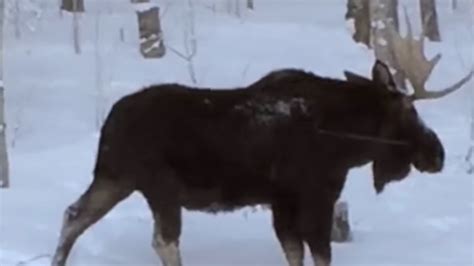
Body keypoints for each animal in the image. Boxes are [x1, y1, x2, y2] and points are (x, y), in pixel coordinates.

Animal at [50, 56, 472, 266]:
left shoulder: (281, 201)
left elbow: (294, 252)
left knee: (73, 215)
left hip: (115, 179)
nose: (437, 153)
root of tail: (110, 126)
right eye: (410, 111)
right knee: (163, 241)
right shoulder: (316, 194)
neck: (347, 140)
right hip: (159, 186)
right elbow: (320, 253)